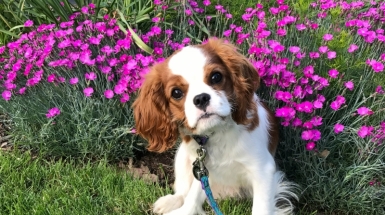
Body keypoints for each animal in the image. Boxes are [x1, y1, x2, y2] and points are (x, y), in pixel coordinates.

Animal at [132, 38, 296, 215]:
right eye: (176, 93)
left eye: (216, 77)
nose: (201, 98)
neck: (216, 132)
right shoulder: (202, 167)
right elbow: (193, 195)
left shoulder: (263, 171)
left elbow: (261, 208)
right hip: (182, 158)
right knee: (184, 191)